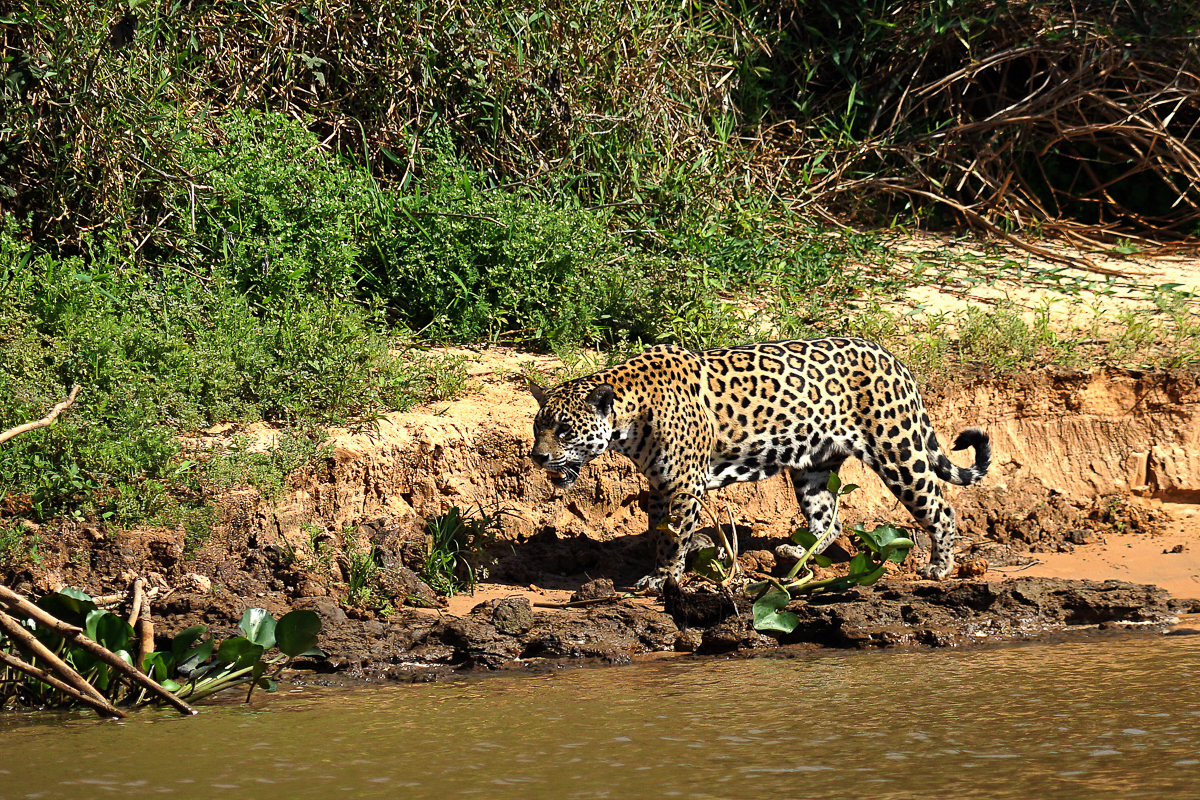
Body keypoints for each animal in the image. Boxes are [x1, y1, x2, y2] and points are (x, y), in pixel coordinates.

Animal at [528, 337, 991, 591]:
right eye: (538, 427)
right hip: (813, 465)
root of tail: (892, 356)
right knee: (830, 520)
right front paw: (665, 566)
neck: (629, 415)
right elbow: (660, 534)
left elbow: (674, 538)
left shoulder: (681, 486)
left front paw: (664, 578)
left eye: (565, 430)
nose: (538, 457)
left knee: (941, 508)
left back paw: (940, 566)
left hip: (898, 451)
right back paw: (795, 554)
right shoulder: (661, 487)